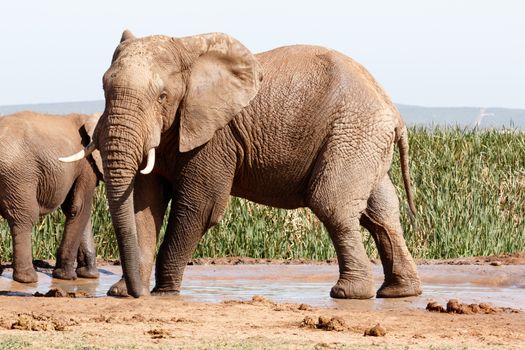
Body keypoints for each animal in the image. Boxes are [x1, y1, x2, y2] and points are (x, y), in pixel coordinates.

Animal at [0, 110, 103, 284]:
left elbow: (76, 209)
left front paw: (89, 275)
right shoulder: (86, 164)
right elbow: (79, 208)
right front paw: (66, 277)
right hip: (19, 175)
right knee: (25, 217)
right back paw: (28, 279)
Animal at [63, 30, 422, 298]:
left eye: (162, 96)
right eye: (104, 89)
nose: (138, 292)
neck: (187, 49)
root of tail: (393, 111)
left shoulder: (215, 135)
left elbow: (199, 206)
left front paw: (164, 292)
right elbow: (144, 205)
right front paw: (124, 293)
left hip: (351, 133)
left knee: (333, 204)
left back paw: (349, 293)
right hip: (365, 140)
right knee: (381, 214)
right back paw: (398, 293)